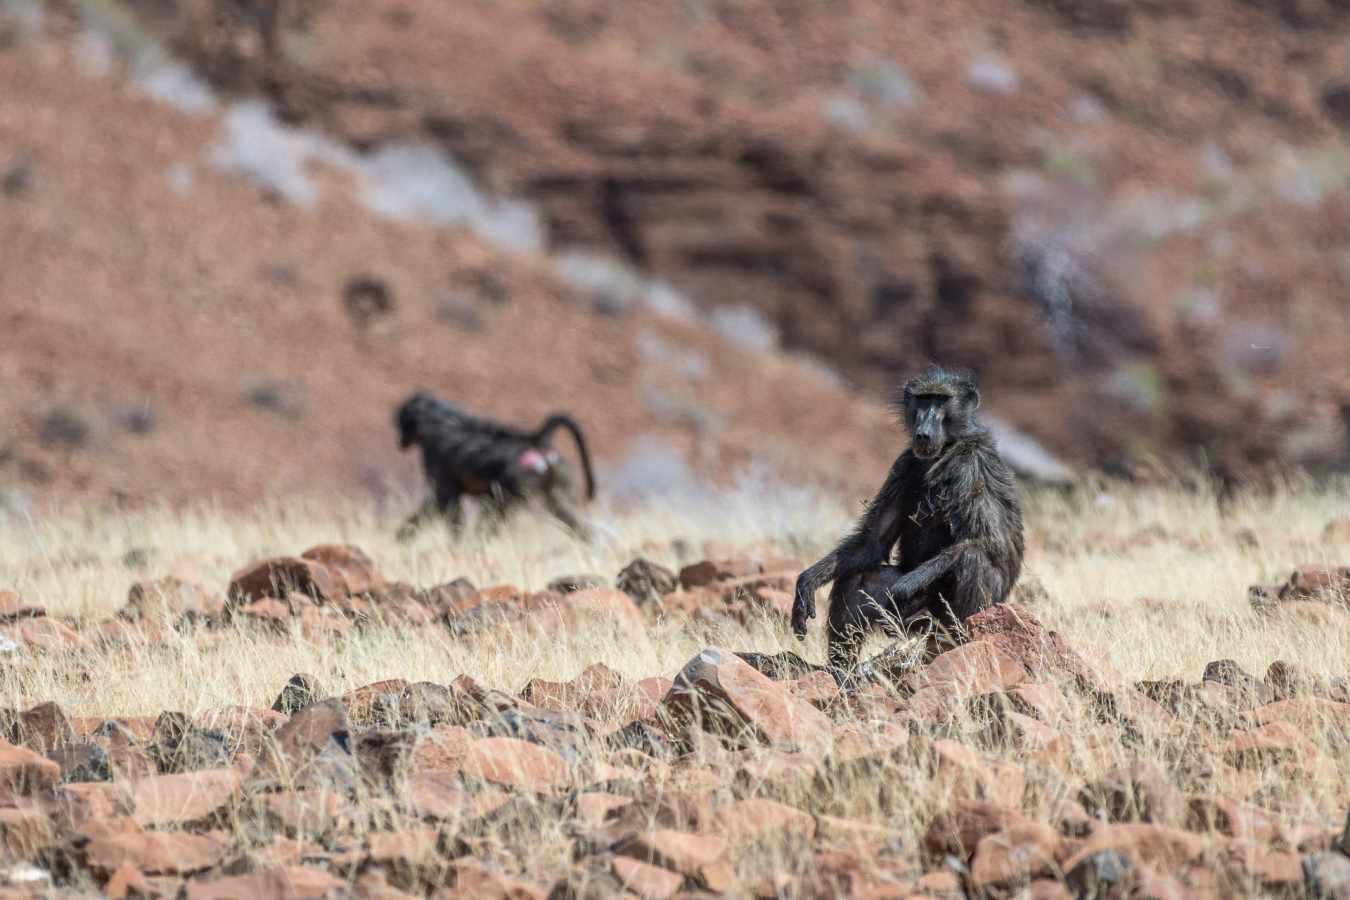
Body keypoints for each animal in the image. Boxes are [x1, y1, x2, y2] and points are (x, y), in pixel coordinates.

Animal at [394, 391, 596, 542]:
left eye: (401, 422)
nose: (400, 442)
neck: (438, 419)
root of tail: (537, 441)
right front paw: (402, 536)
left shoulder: (436, 462)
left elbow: (442, 504)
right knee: (564, 510)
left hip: (516, 483)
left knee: (493, 511)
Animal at [791, 366, 1024, 676]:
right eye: (923, 400)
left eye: (941, 400)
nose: (923, 433)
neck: (946, 449)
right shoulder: (904, 464)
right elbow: (872, 543)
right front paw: (807, 581)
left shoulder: (971, 464)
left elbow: (989, 542)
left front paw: (905, 585)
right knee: (855, 579)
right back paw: (841, 670)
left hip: (974, 606)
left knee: (973, 559)